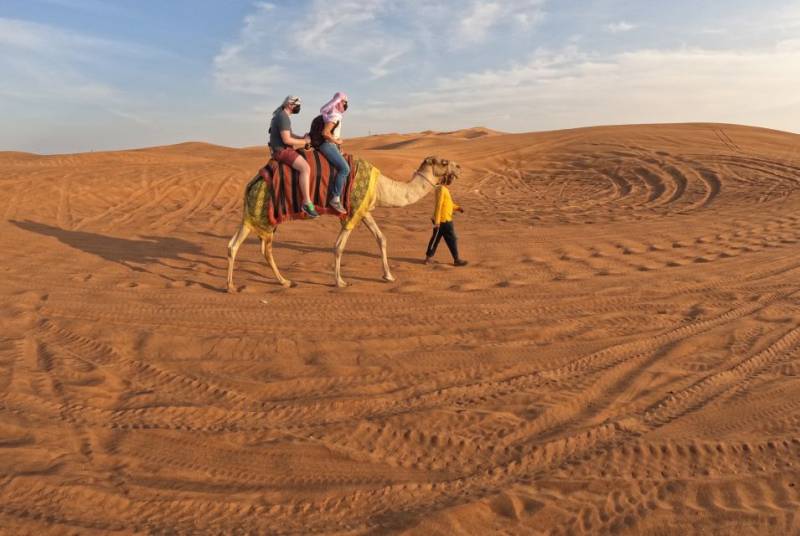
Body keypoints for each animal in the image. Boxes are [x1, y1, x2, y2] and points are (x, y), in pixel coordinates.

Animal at [227, 155, 460, 289]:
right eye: (443, 162)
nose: (459, 167)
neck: (382, 187)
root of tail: (252, 183)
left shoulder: (364, 210)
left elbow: (381, 238)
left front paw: (388, 276)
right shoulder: (352, 210)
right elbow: (339, 246)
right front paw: (339, 281)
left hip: (256, 215)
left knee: (247, 246)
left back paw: (280, 281)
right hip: (260, 212)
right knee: (244, 246)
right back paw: (236, 285)